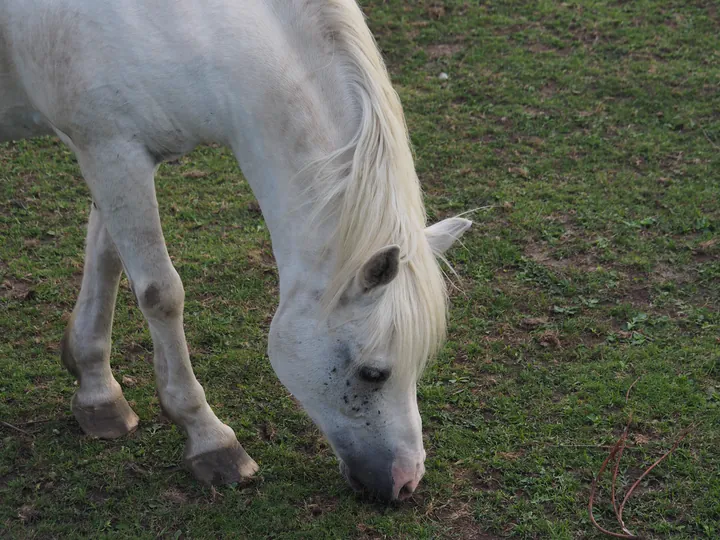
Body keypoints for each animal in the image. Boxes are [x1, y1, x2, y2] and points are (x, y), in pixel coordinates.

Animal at [0, 0, 470, 500]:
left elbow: (107, 259)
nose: (406, 483)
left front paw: (96, 392)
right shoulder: (110, 150)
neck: (184, 25)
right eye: (372, 373)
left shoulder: (112, 158)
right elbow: (160, 294)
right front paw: (209, 439)